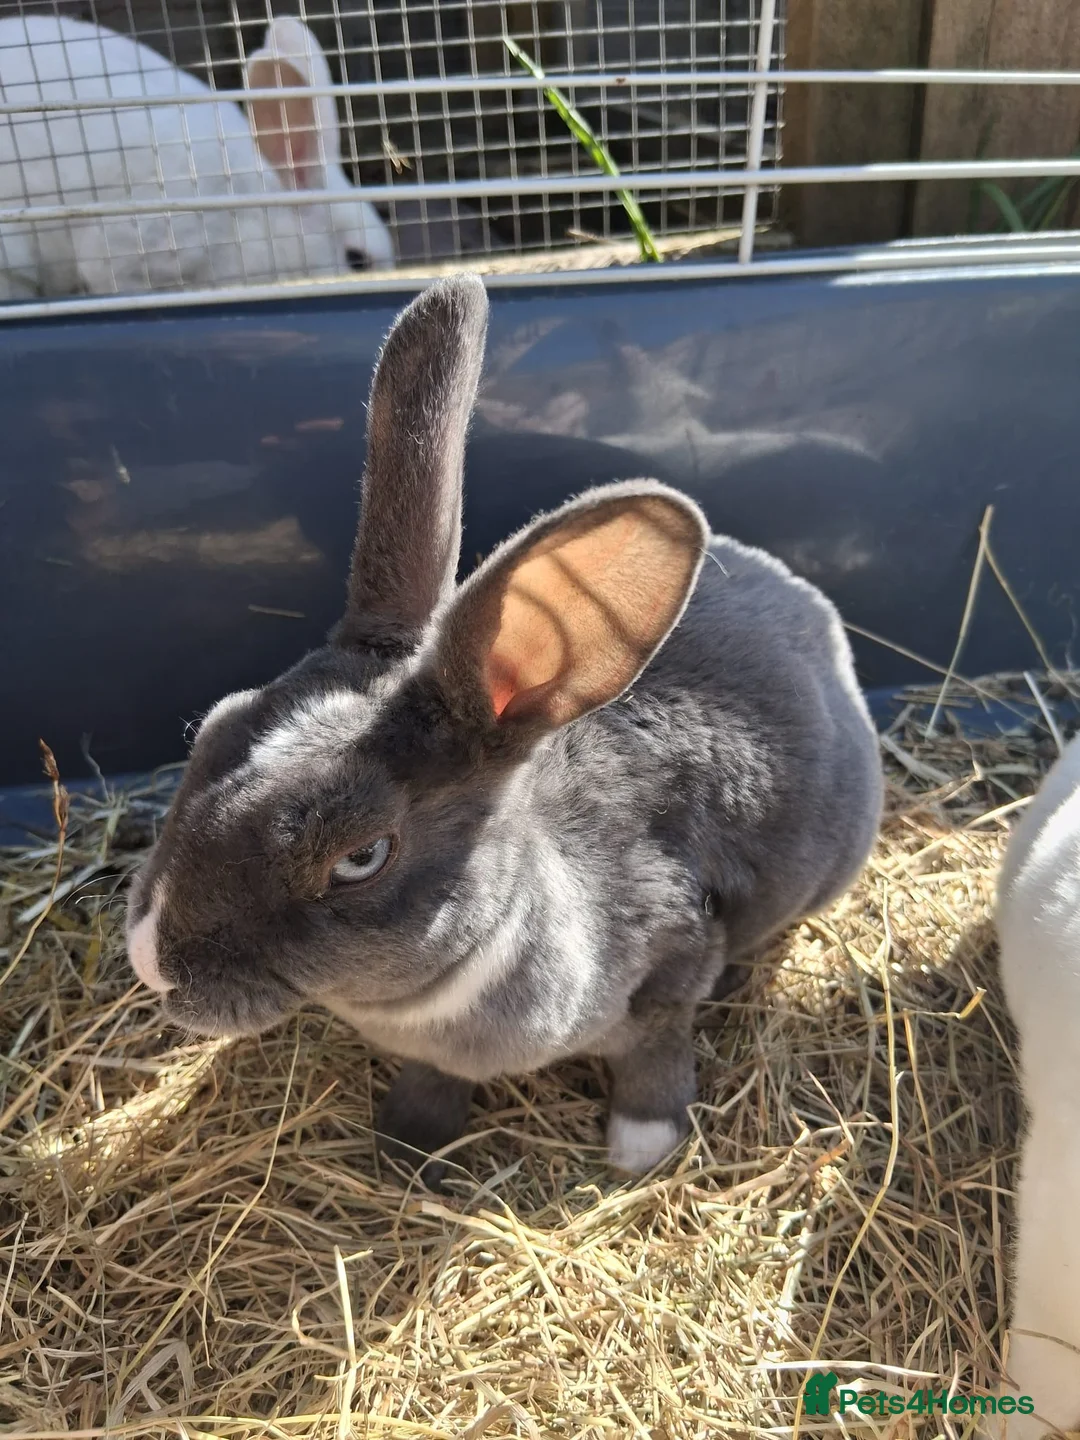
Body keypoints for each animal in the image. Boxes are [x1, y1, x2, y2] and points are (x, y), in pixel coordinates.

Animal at [124, 275, 883, 1187]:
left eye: (360, 857)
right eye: (214, 727)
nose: (149, 960)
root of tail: (809, 605)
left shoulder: (675, 958)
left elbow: (657, 1054)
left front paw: (640, 1152)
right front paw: (408, 1149)